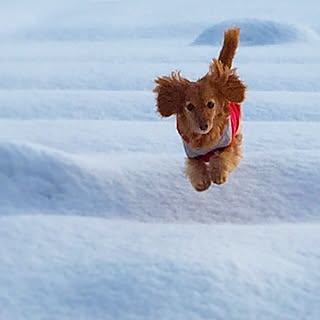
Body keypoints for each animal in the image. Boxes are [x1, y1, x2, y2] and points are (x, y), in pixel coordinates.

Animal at [154, 27, 246, 191]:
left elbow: (223, 157)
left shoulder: (228, 144)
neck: (204, 140)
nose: (203, 126)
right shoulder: (192, 155)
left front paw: (218, 174)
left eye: (211, 104)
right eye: (190, 106)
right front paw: (201, 182)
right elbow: (195, 167)